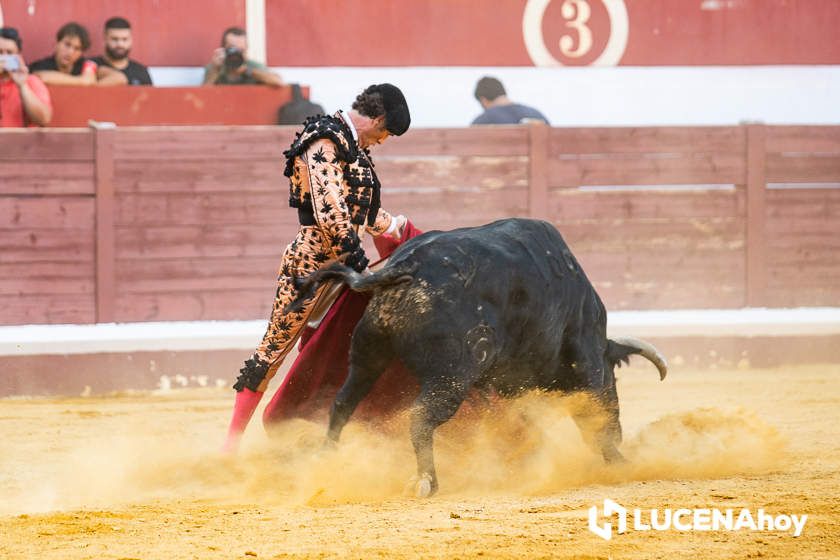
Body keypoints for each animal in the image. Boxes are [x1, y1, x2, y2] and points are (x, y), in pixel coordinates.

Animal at [288, 219, 668, 498]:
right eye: (613, 379)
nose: (621, 435)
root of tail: (407, 265)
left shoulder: (498, 382)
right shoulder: (581, 362)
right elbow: (589, 414)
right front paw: (618, 460)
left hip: (368, 353)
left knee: (342, 402)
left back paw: (325, 458)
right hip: (451, 376)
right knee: (420, 417)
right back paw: (426, 481)